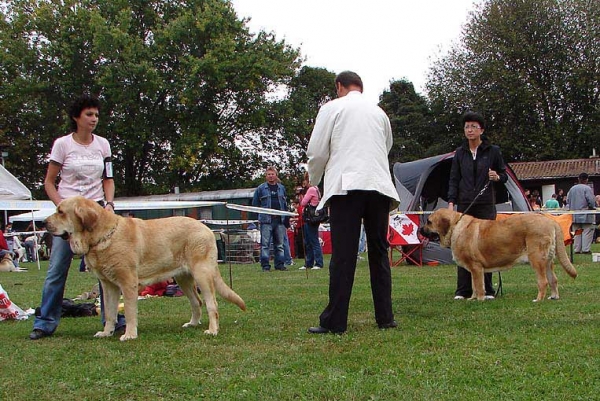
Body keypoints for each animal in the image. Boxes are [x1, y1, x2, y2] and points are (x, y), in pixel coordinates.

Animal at [44, 195, 246, 340]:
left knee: (212, 304)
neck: (103, 236)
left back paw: (212, 330)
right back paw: (193, 324)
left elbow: (130, 311)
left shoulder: (128, 283)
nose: (44, 222)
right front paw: (106, 332)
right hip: (183, 278)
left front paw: (129, 334)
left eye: (60, 211)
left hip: (202, 274)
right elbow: (110, 312)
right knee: (197, 302)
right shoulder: (109, 285)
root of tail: (207, 229)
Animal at [420, 209, 580, 300]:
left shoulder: (476, 267)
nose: (420, 230)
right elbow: (474, 285)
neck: (455, 227)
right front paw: (472, 299)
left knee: (543, 282)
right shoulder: (474, 269)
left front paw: (480, 300)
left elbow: (479, 286)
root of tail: (551, 221)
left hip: (537, 259)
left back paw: (538, 299)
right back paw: (553, 297)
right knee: (553, 279)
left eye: (429, 222)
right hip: (547, 261)